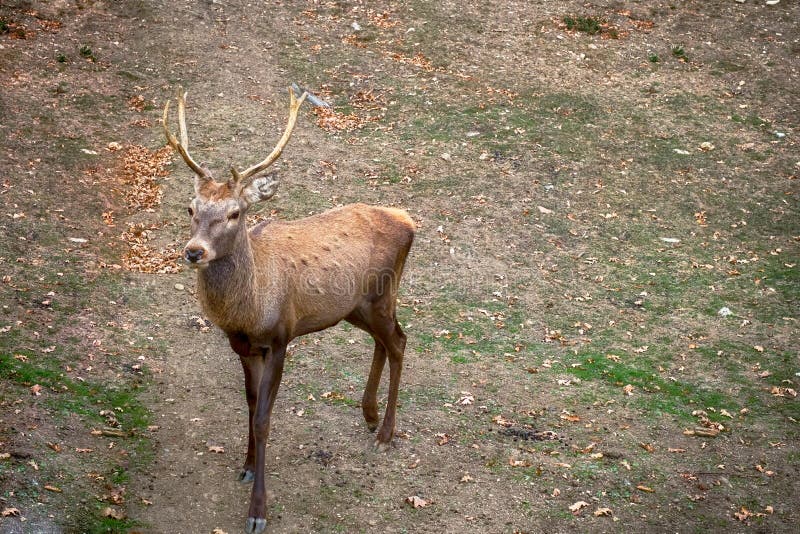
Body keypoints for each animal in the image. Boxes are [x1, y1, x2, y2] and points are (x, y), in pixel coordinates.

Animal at [160, 89, 416, 534]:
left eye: (235, 213)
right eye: (191, 209)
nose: (194, 251)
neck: (249, 309)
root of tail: (410, 221)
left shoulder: (281, 336)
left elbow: (264, 418)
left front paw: (257, 511)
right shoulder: (242, 346)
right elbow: (249, 405)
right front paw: (246, 467)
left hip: (383, 293)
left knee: (400, 341)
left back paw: (385, 433)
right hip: (356, 307)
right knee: (383, 342)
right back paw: (368, 414)